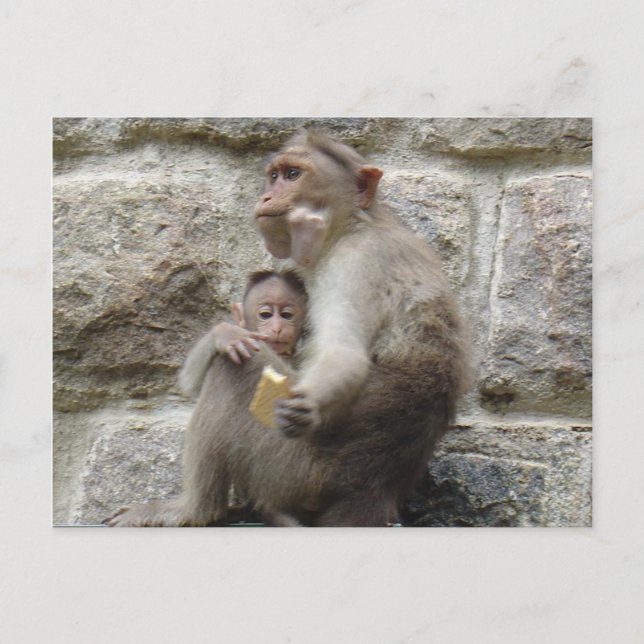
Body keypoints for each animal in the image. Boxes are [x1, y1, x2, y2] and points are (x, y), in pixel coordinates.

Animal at [106, 129, 469, 527]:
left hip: (296, 472)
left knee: (235, 367)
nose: (266, 196)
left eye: (294, 175)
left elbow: (343, 354)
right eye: (274, 176)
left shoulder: (355, 264)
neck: (354, 225)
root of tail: (373, 494)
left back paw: (194, 509)